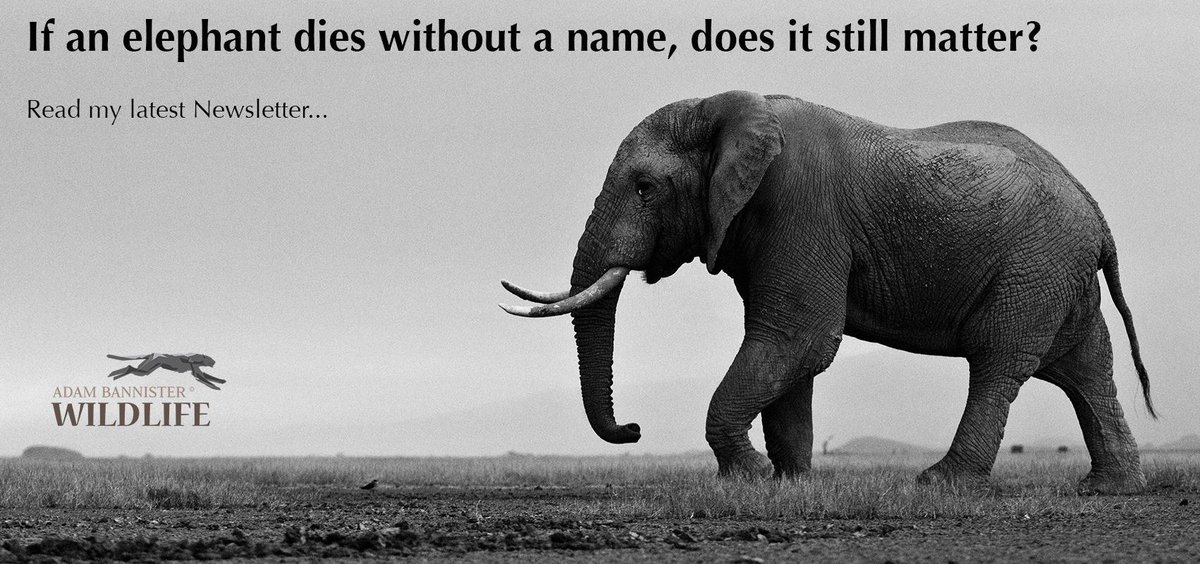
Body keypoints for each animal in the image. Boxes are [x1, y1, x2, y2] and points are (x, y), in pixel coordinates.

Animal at [500, 90, 1154, 494]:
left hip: (1036, 264)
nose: (634, 430)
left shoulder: (799, 210)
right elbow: (787, 352)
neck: (727, 108)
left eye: (644, 188)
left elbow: (799, 338)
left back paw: (940, 485)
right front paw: (790, 485)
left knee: (999, 358)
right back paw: (1109, 488)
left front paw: (749, 478)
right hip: (1057, 270)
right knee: (1084, 366)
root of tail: (1095, 210)